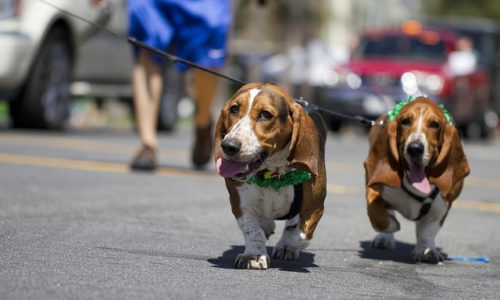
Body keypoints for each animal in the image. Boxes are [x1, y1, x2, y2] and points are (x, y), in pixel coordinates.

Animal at [215, 82, 328, 270]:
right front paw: (253, 255)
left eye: (265, 115)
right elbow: (253, 231)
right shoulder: (240, 205)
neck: (272, 173)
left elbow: (300, 236)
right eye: (234, 109)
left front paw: (287, 244)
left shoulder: (315, 207)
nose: (229, 146)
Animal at [364, 97, 468, 264]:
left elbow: (427, 231)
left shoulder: (442, 208)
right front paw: (390, 227)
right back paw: (385, 238)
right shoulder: (373, 189)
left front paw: (426, 251)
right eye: (405, 121)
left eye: (435, 124)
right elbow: (377, 214)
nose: (414, 148)